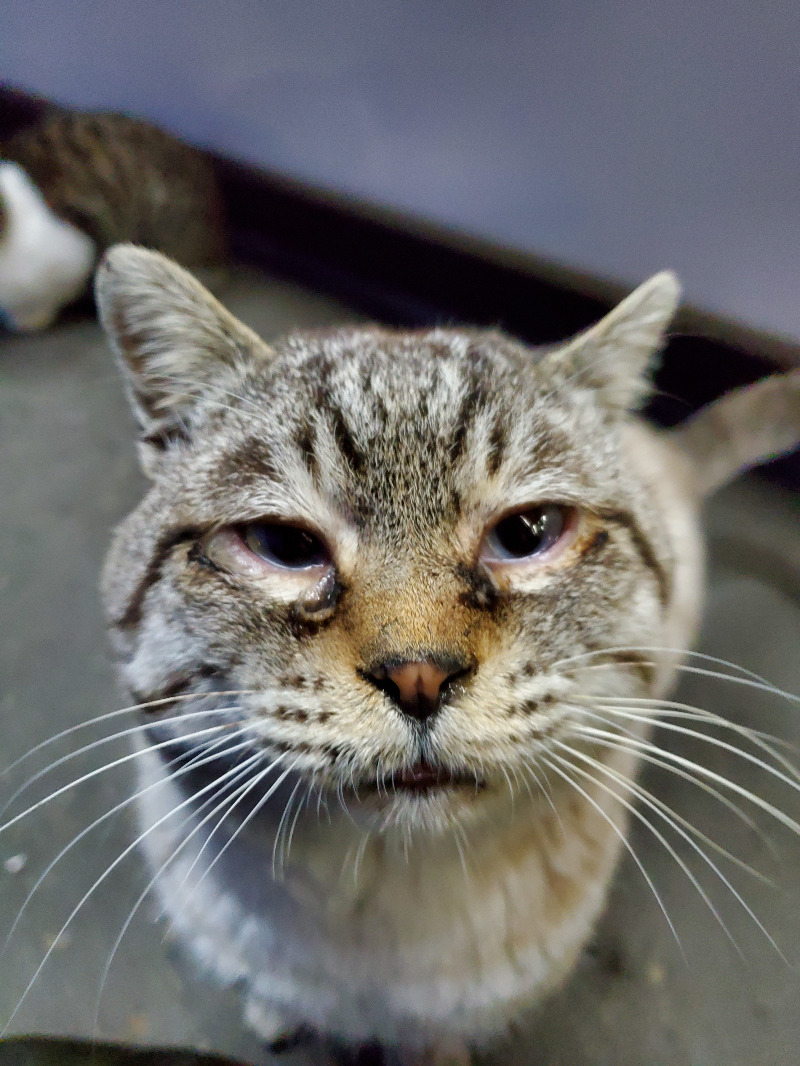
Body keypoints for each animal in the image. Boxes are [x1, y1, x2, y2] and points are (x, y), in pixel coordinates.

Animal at [93, 245, 800, 1061]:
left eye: (528, 533)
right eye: (284, 546)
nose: (419, 676)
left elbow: (435, 1042)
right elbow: (270, 987)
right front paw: (275, 1014)